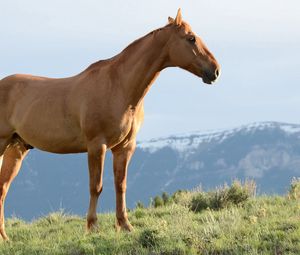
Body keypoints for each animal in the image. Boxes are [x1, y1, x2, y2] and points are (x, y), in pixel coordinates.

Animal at [0, 7, 220, 239]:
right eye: (191, 38)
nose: (215, 71)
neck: (119, 87)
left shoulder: (124, 147)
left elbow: (120, 185)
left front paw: (125, 225)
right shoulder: (97, 145)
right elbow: (96, 186)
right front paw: (92, 227)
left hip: (16, 149)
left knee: (2, 189)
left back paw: (5, 237)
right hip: (3, 144)